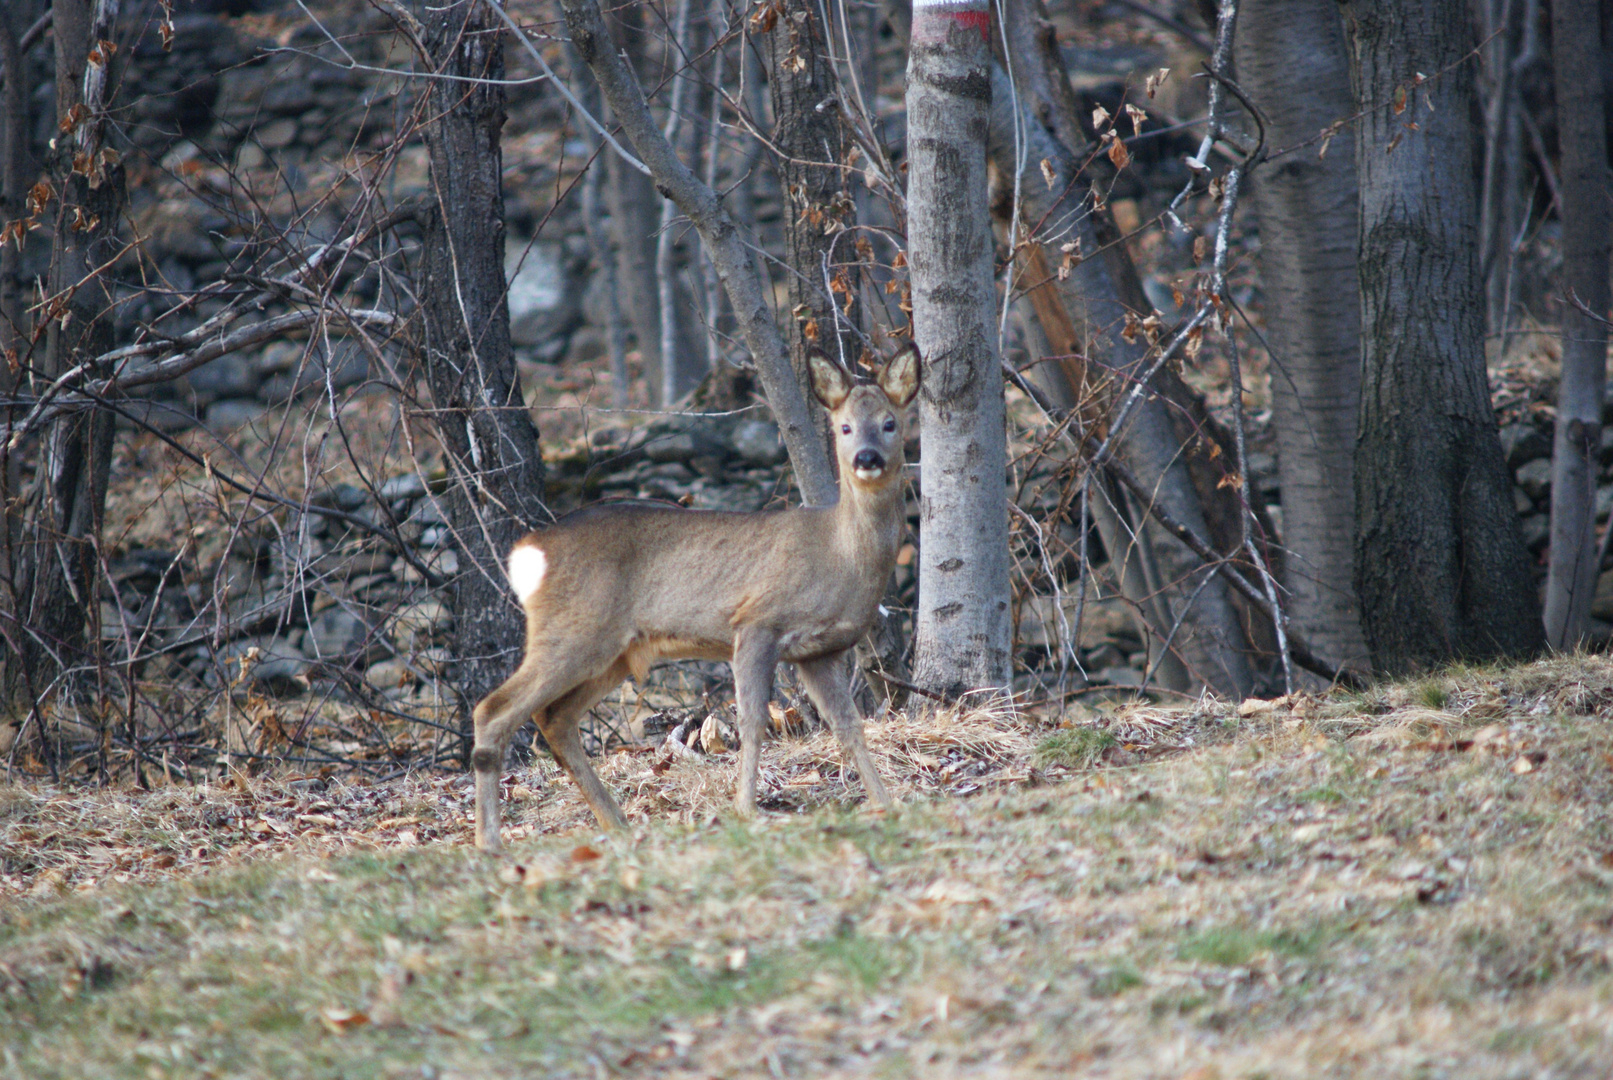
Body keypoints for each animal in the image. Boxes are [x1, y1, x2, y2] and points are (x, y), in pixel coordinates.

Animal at [467, 346, 922, 857]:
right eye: (844, 427)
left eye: (889, 422)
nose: (867, 457)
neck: (839, 554)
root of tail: (527, 552)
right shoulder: (755, 623)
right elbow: (751, 722)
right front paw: (745, 810)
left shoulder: (818, 652)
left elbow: (850, 726)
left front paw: (886, 804)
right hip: (574, 631)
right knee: (493, 709)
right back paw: (489, 843)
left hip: (613, 652)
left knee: (554, 717)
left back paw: (616, 823)